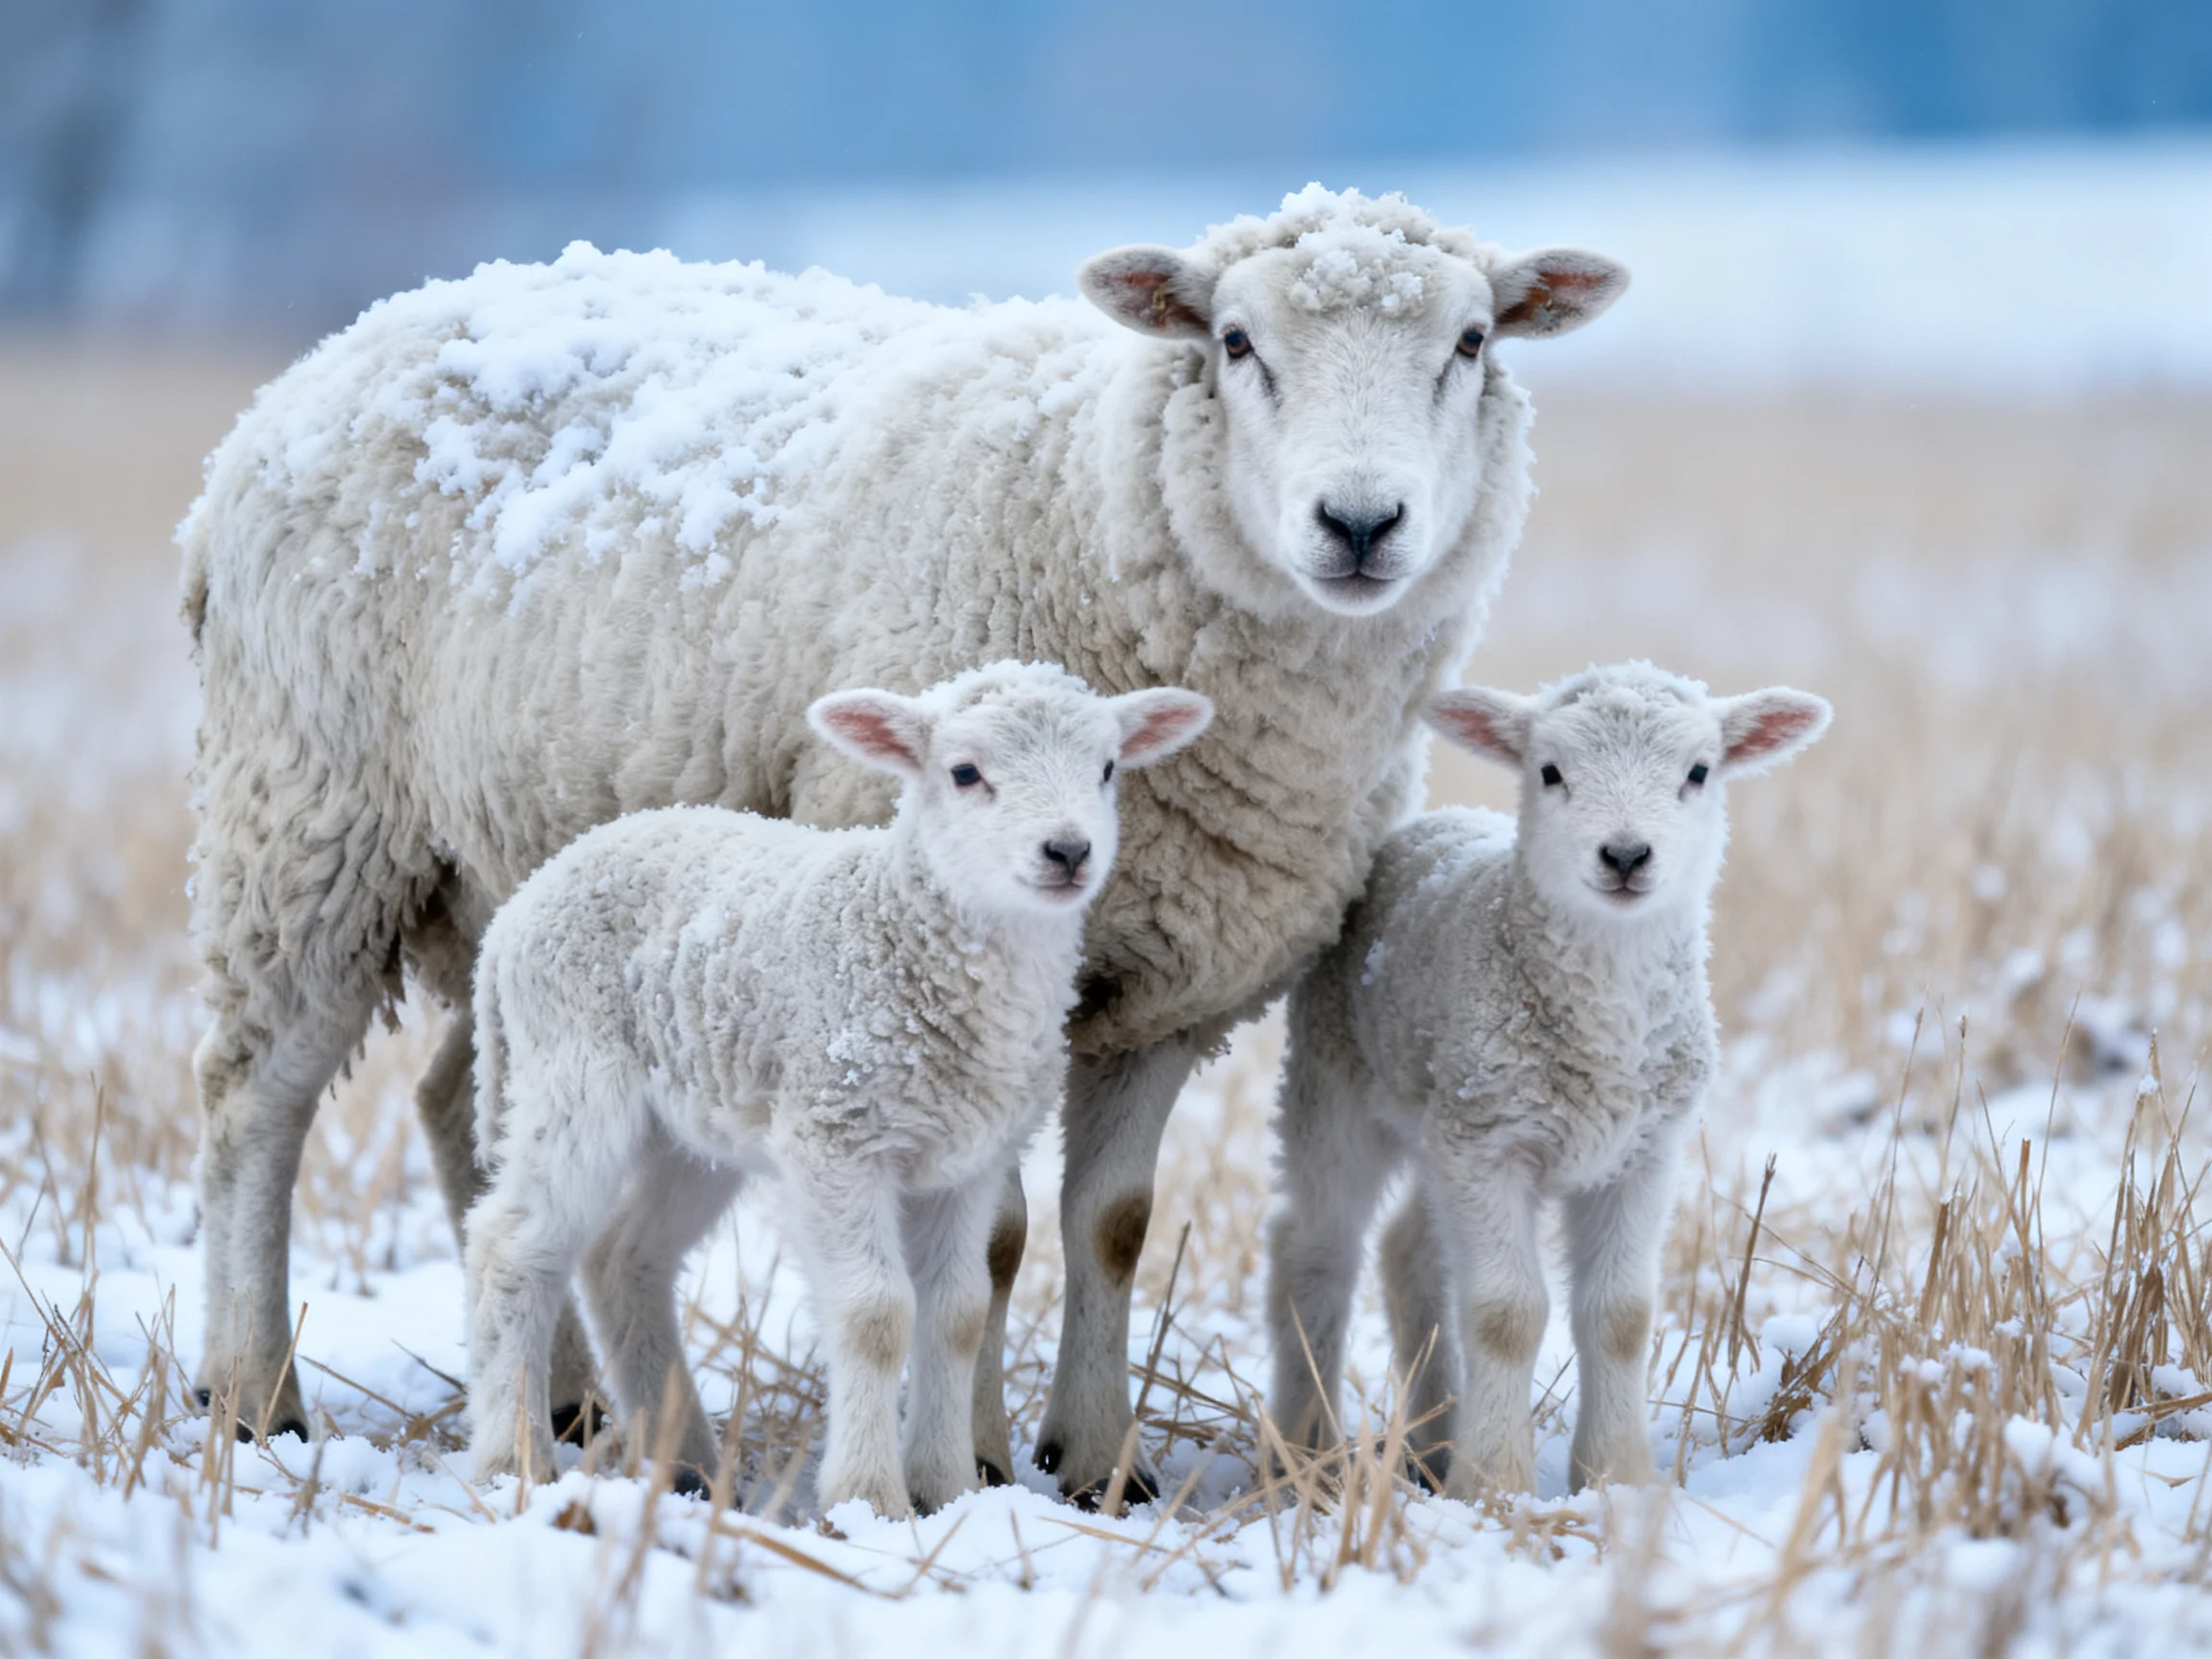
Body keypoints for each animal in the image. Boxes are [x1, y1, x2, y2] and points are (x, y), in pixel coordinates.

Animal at [465, 661, 1214, 1514]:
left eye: (1108, 768)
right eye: (965, 773)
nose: (1067, 850)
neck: (905, 928)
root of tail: (518, 910)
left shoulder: (969, 1160)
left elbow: (958, 1313)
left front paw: (946, 1491)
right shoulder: (836, 1136)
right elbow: (875, 1315)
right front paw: (867, 1499)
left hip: (692, 1125)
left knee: (622, 1256)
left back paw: (684, 1466)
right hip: (573, 1075)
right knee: (509, 1248)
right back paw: (511, 1462)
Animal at [1267, 663, 1829, 1496]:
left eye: (1699, 772)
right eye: (1550, 771)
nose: (1625, 855)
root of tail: (1431, 822)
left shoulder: (1643, 1150)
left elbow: (1621, 1315)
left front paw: (1615, 1476)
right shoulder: (1491, 1144)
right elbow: (1505, 1314)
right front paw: (1496, 1486)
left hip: (1444, 1120)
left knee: (1409, 1253)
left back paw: (1433, 1445)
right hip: (1339, 1086)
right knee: (1316, 1249)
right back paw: (1309, 1454)